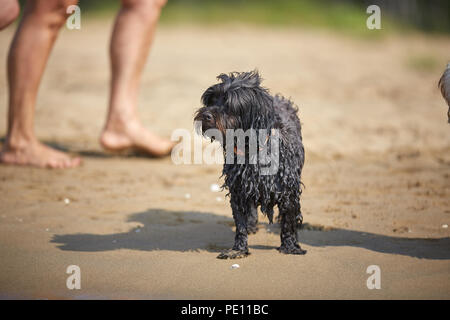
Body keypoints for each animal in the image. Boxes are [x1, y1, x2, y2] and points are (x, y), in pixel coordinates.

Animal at [195, 70, 308, 258]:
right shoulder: (239, 189)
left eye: (229, 103)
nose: (205, 115)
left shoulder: (287, 190)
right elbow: (240, 223)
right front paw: (238, 249)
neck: (252, 149)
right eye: (212, 100)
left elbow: (288, 220)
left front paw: (290, 246)